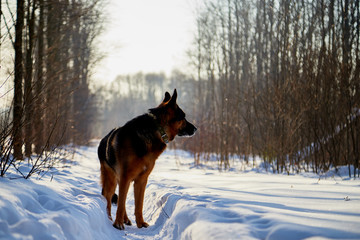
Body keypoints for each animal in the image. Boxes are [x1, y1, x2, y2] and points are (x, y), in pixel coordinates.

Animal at [97, 89, 197, 230]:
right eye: (183, 117)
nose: (195, 129)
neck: (157, 129)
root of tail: (102, 140)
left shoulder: (141, 180)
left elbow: (138, 204)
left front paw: (140, 223)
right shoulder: (126, 177)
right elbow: (121, 203)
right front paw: (118, 224)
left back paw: (126, 219)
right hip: (111, 180)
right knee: (109, 198)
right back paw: (110, 218)